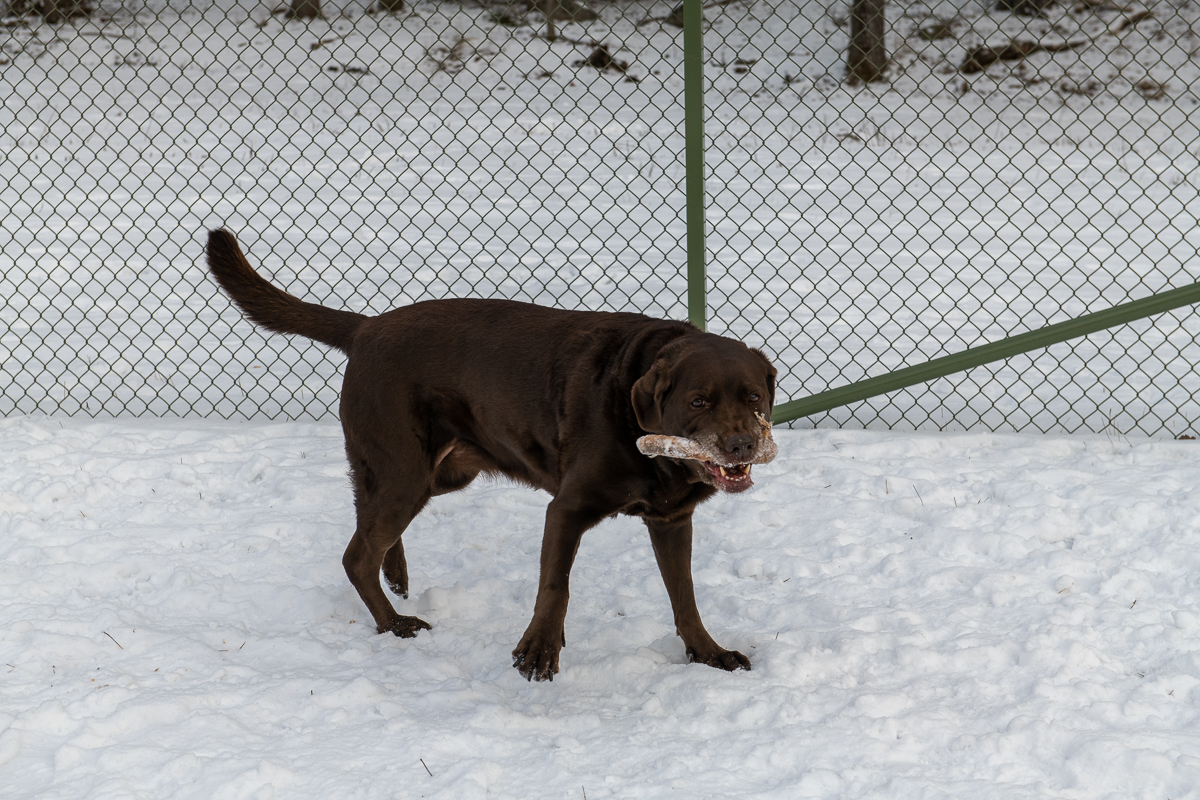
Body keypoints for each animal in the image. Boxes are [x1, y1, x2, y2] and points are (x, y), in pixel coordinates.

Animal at [206, 230, 777, 681]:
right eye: (698, 401)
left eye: (753, 397)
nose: (741, 445)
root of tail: (365, 328)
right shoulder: (567, 509)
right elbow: (555, 585)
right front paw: (539, 650)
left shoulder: (671, 519)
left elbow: (685, 596)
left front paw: (709, 654)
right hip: (405, 470)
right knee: (356, 554)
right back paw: (394, 623)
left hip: (434, 473)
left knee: (368, 525)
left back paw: (397, 578)